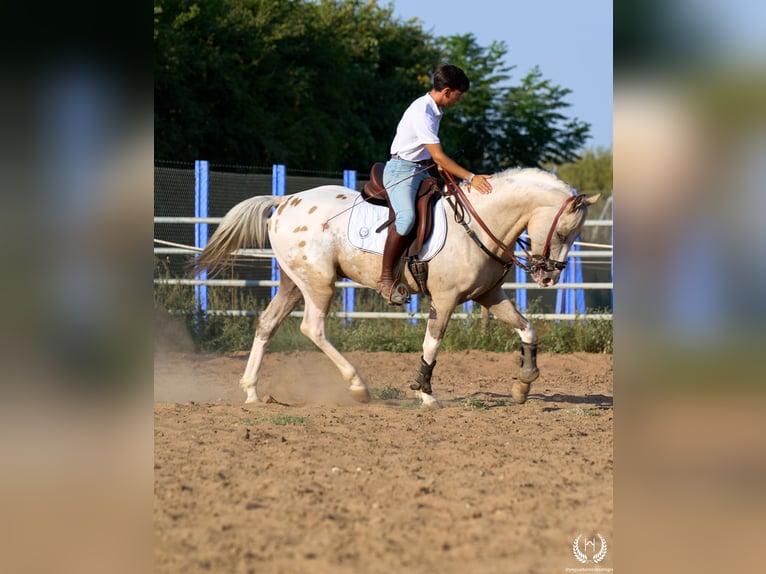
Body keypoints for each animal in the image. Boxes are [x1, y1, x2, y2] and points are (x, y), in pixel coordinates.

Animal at [194, 167, 600, 407]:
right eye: (563, 232)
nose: (548, 277)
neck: (478, 223)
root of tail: (283, 202)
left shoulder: (489, 295)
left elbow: (527, 328)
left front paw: (524, 383)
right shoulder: (445, 299)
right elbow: (432, 344)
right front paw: (425, 394)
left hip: (294, 283)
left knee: (266, 325)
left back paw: (251, 392)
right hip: (319, 283)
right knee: (312, 328)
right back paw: (357, 386)